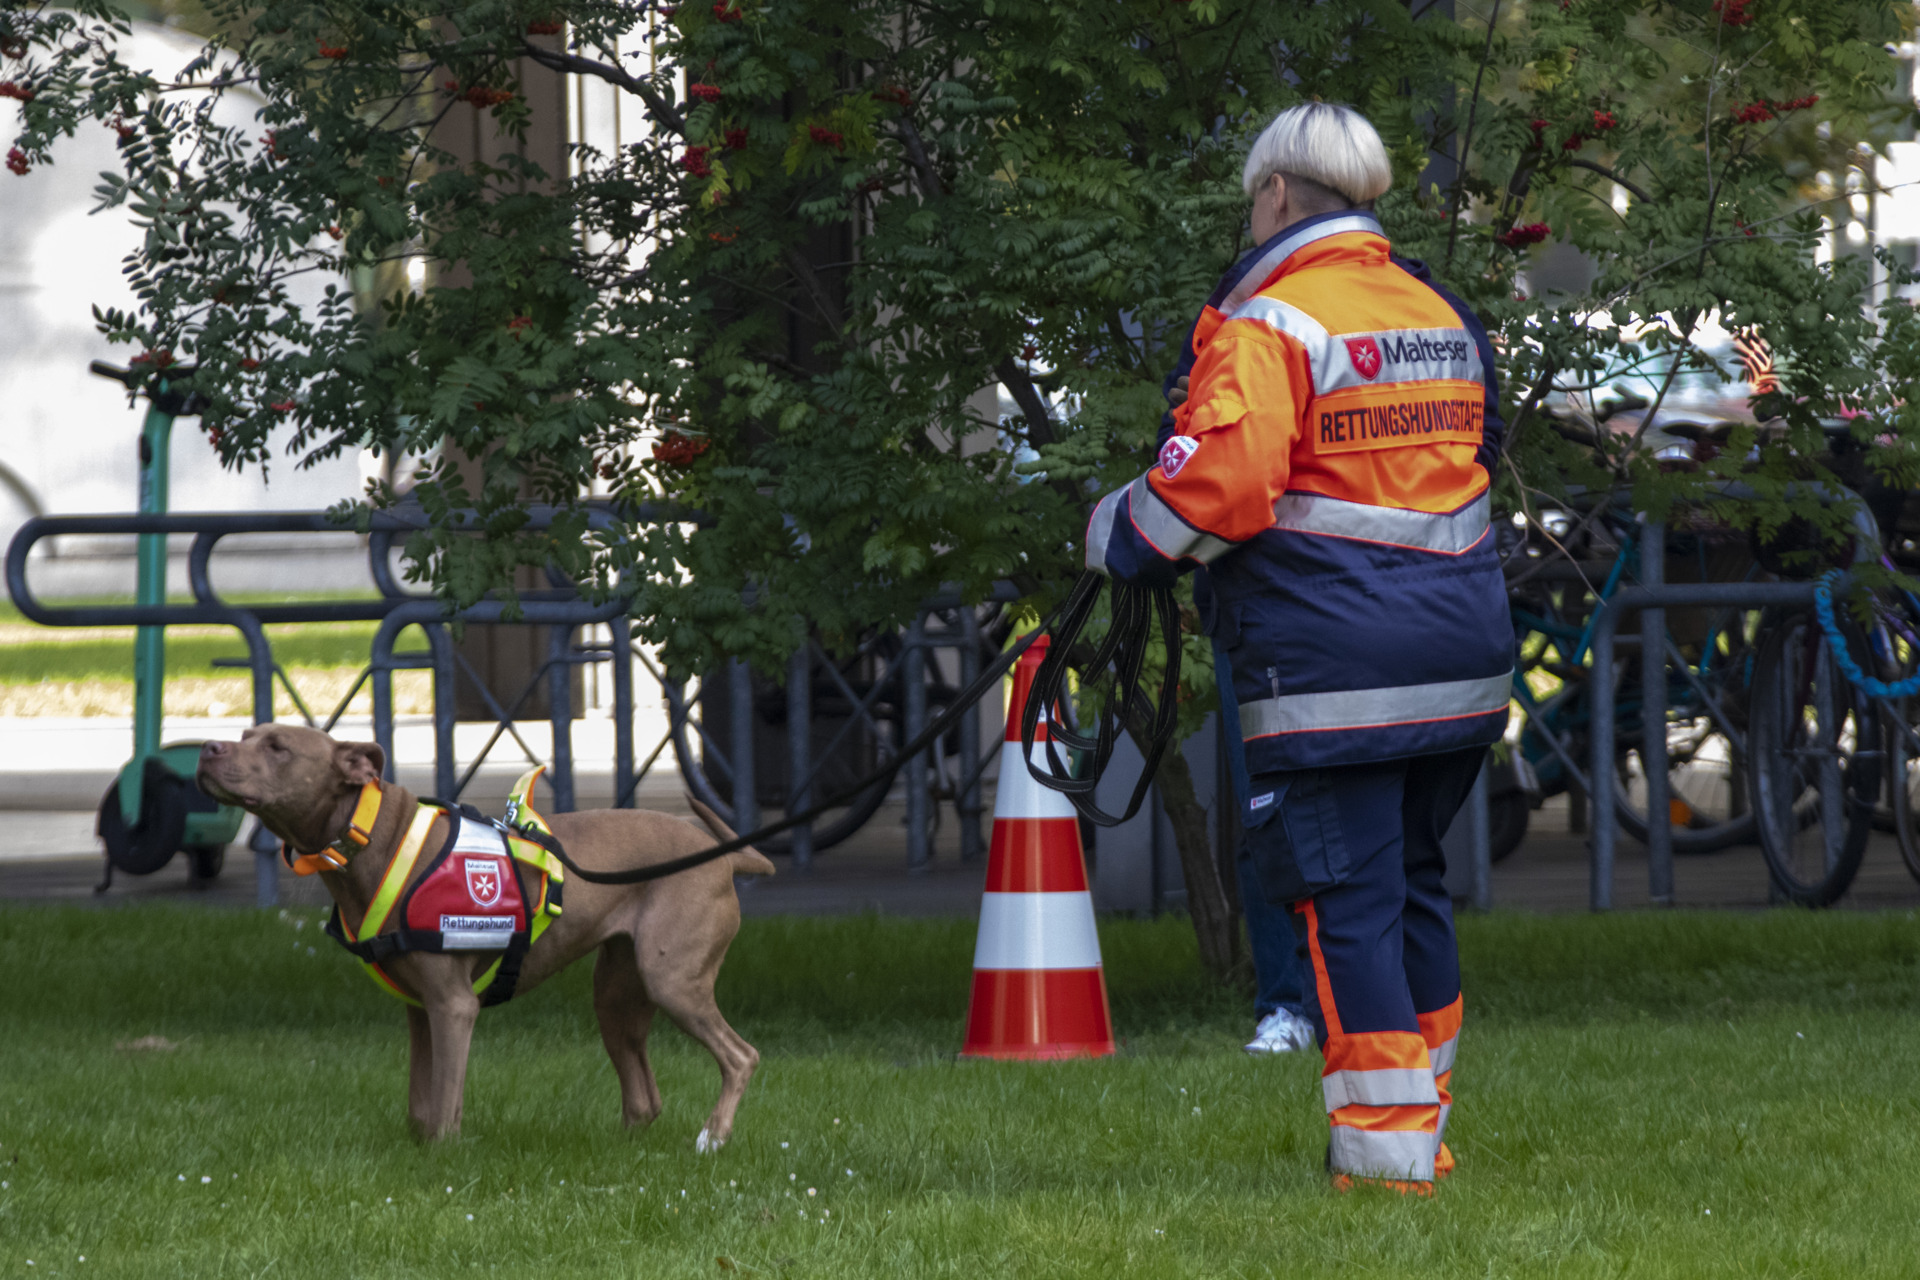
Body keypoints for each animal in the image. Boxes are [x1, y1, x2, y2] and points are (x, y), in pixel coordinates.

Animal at [192, 721, 764, 1151]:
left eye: (278, 747)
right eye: (246, 733)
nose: (208, 747)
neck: (375, 837)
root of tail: (723, 857)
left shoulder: (453, 1006)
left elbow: (444, 1105)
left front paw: (443, 1162)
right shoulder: (420, 1009)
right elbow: (422, 1107)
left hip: (673, 978)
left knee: (741, 1056)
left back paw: (714, 1137)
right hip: (617, 992)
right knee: (645, 1100)